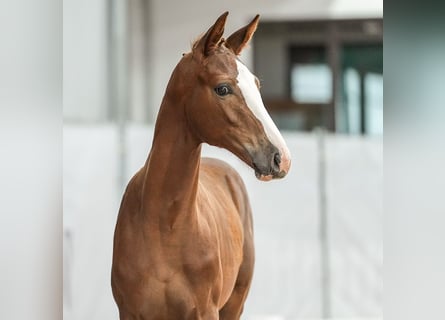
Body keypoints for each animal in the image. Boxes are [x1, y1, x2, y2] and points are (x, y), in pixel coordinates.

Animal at [112, 12, 290, 320]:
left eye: (257, 87)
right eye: (223, 88)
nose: (281, 157)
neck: (163, 228)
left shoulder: (206, 312)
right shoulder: (129, 313)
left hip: (235, 304)